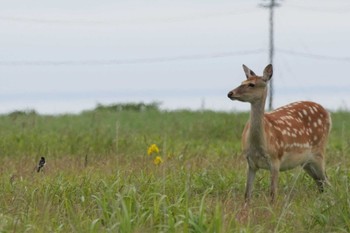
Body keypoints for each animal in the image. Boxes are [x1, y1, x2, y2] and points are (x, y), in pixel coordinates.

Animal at [227, 64, 330, 203]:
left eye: (251, 84)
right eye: (242, 82)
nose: (230, 93)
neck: (260, 145)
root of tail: (327, 113)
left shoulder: (275, 160)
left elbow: (273, 195)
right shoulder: (250, 162)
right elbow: (247, 195)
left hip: (319, 151)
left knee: (326, 181)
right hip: (306, 161)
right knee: (321, 182)